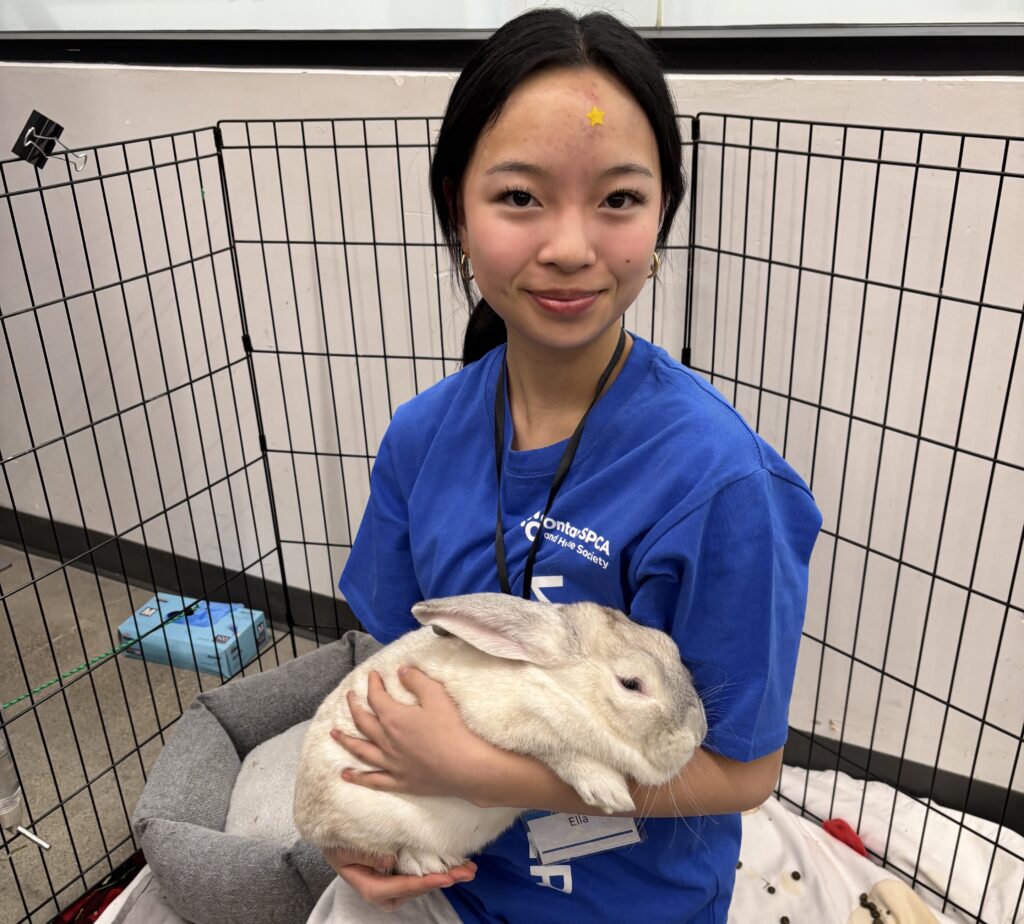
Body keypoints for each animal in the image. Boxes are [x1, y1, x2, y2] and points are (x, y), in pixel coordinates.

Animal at [293, 592, 706, 877]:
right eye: (630, 684)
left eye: (672, 648)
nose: (698, 733)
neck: (559, 688)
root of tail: (304, 820)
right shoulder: (513, 722)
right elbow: (557, 749)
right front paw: (608, 791)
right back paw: (431, 864)